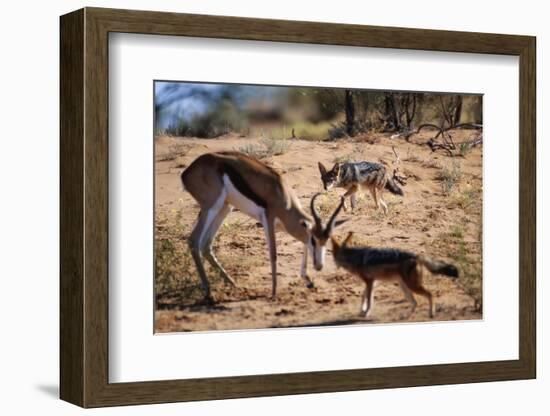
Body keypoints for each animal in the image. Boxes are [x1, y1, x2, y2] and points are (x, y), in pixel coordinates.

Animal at [182, 150, 350, 302]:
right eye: (315, 240)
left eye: (326, 241)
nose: (320, 266)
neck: (283, 196)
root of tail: (186, 173)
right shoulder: (268, 220)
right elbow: (273, 254)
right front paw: (274, 292)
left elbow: (302, 242)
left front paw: (308, 280)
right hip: (212, 206)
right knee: (193, 240)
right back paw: (209, 294)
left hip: (225, 207)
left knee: (205, 245)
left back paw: (233, 284)